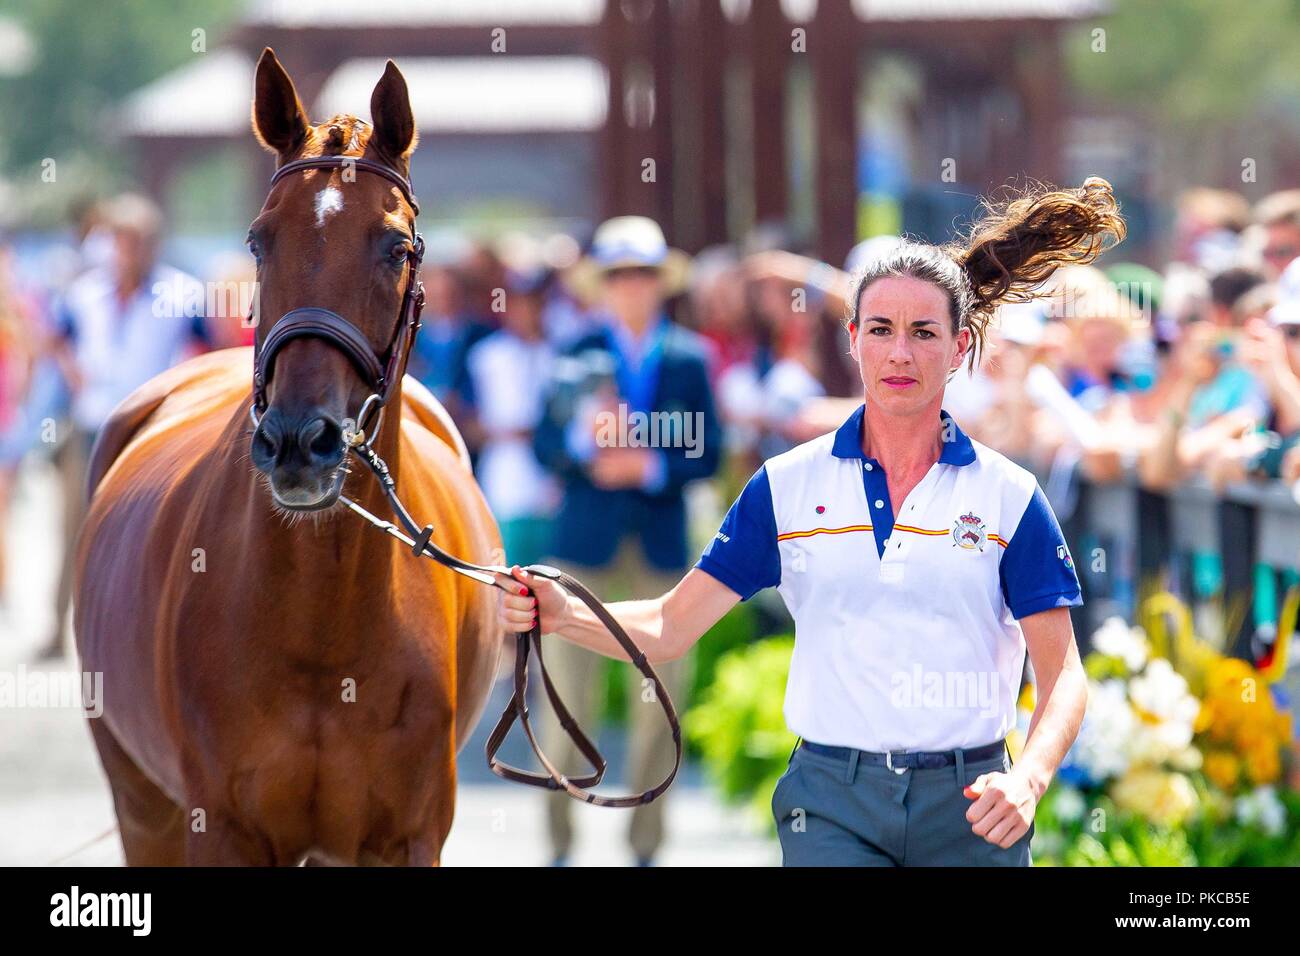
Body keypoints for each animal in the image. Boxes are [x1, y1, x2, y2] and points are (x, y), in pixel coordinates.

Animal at [73, 48, 504, 863]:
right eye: (258, 240)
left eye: (395, 246)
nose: (302, 441)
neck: (322, 621)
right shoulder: (222, 829)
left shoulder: (408, 837)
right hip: (143, 805)